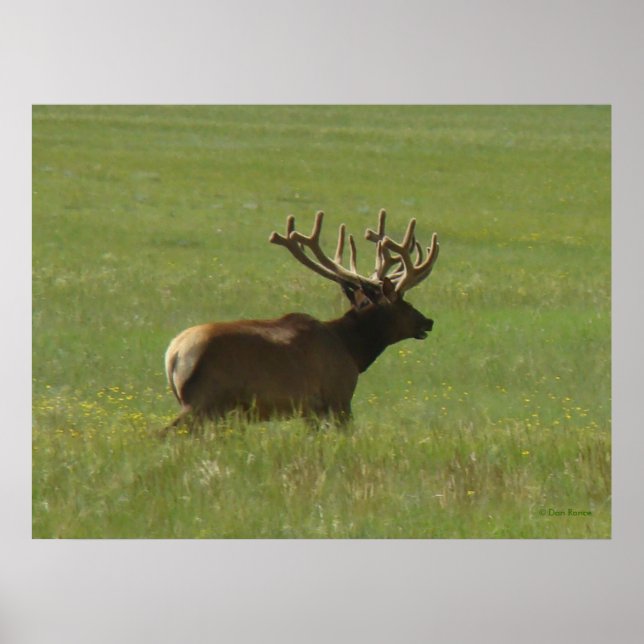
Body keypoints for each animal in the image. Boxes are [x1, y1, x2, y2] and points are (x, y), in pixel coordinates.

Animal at [161, 209, 439, 434]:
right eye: (403, 302)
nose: (428, 321)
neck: (352, 350)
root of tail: (174, 353)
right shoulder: (338, 395)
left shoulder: (309, 410)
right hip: (203, 401)